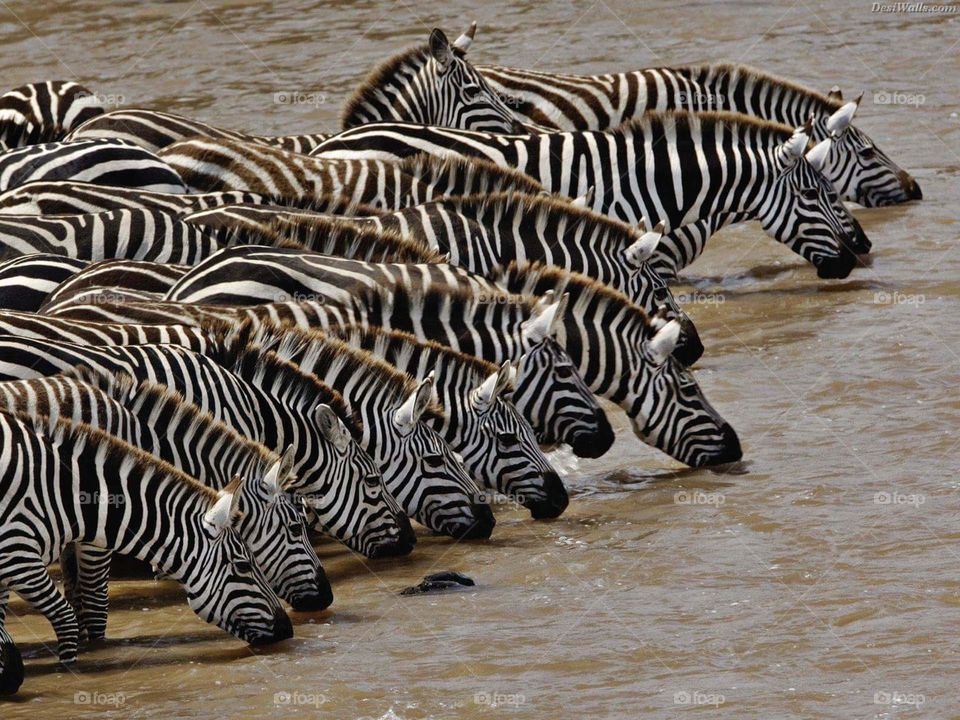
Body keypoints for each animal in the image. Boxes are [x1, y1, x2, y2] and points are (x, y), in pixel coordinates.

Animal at [0, 409, 292, 694]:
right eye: (243, 566)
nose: (288, 630)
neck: (66, 495)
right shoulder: (19, 556)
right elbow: (67, 621)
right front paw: (69, 672)